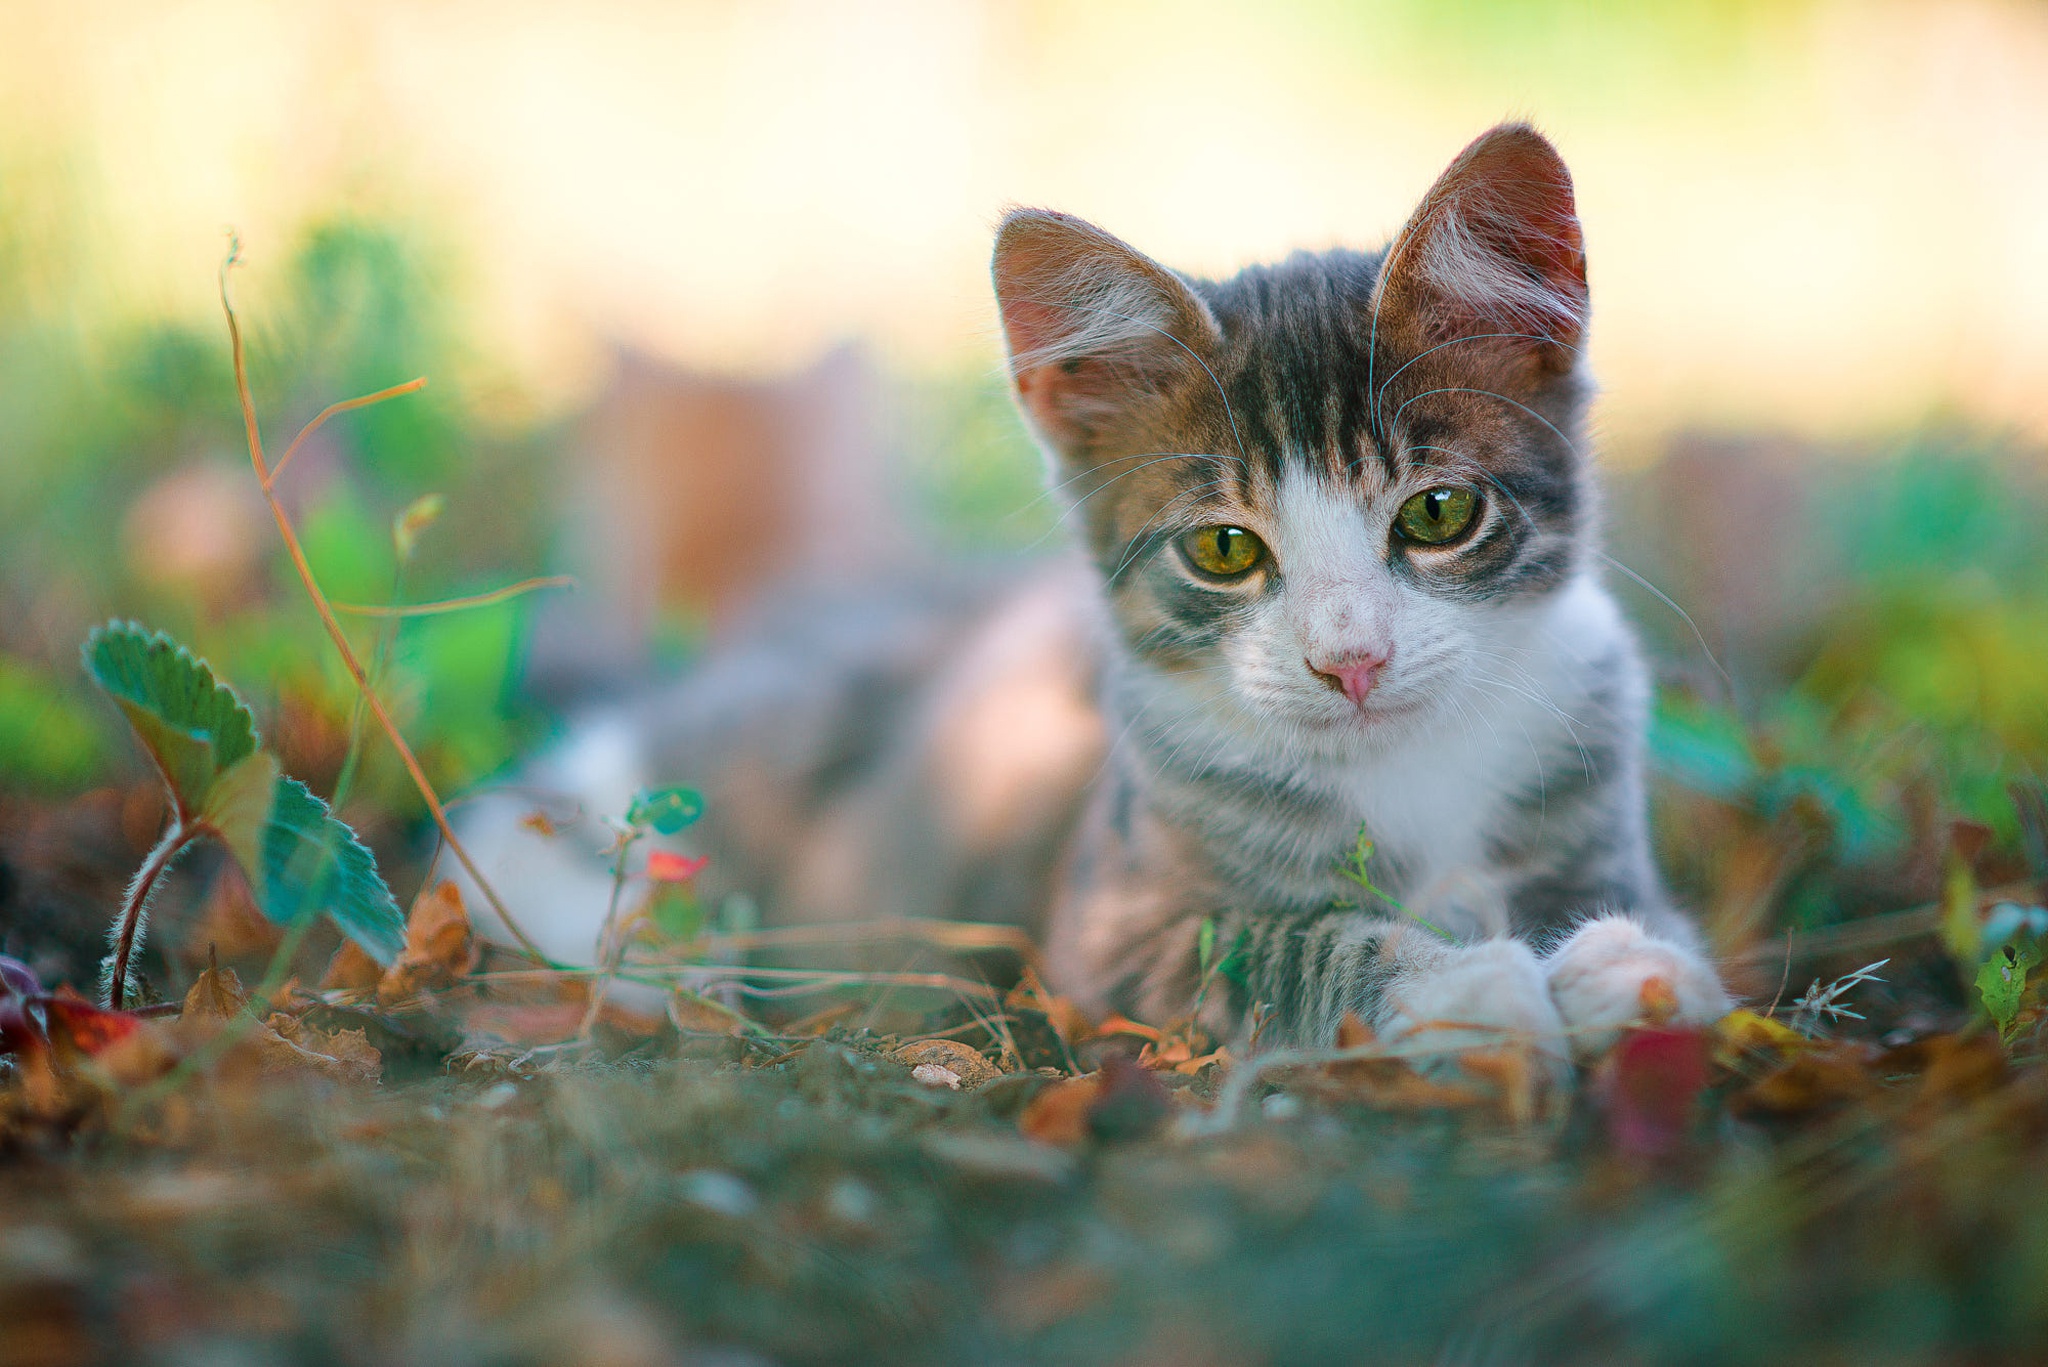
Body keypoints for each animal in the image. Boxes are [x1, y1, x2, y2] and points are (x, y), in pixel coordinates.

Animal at [452, 122, 1728, 1073]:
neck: (1407, 768)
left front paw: (1625, 965)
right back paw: (642, 947)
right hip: (780, 732)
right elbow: (1277, 944)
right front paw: (1466, 980)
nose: (1349, 660)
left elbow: (1641, 922)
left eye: (1436, 514)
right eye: (1222, 547)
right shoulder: (1097, 933)